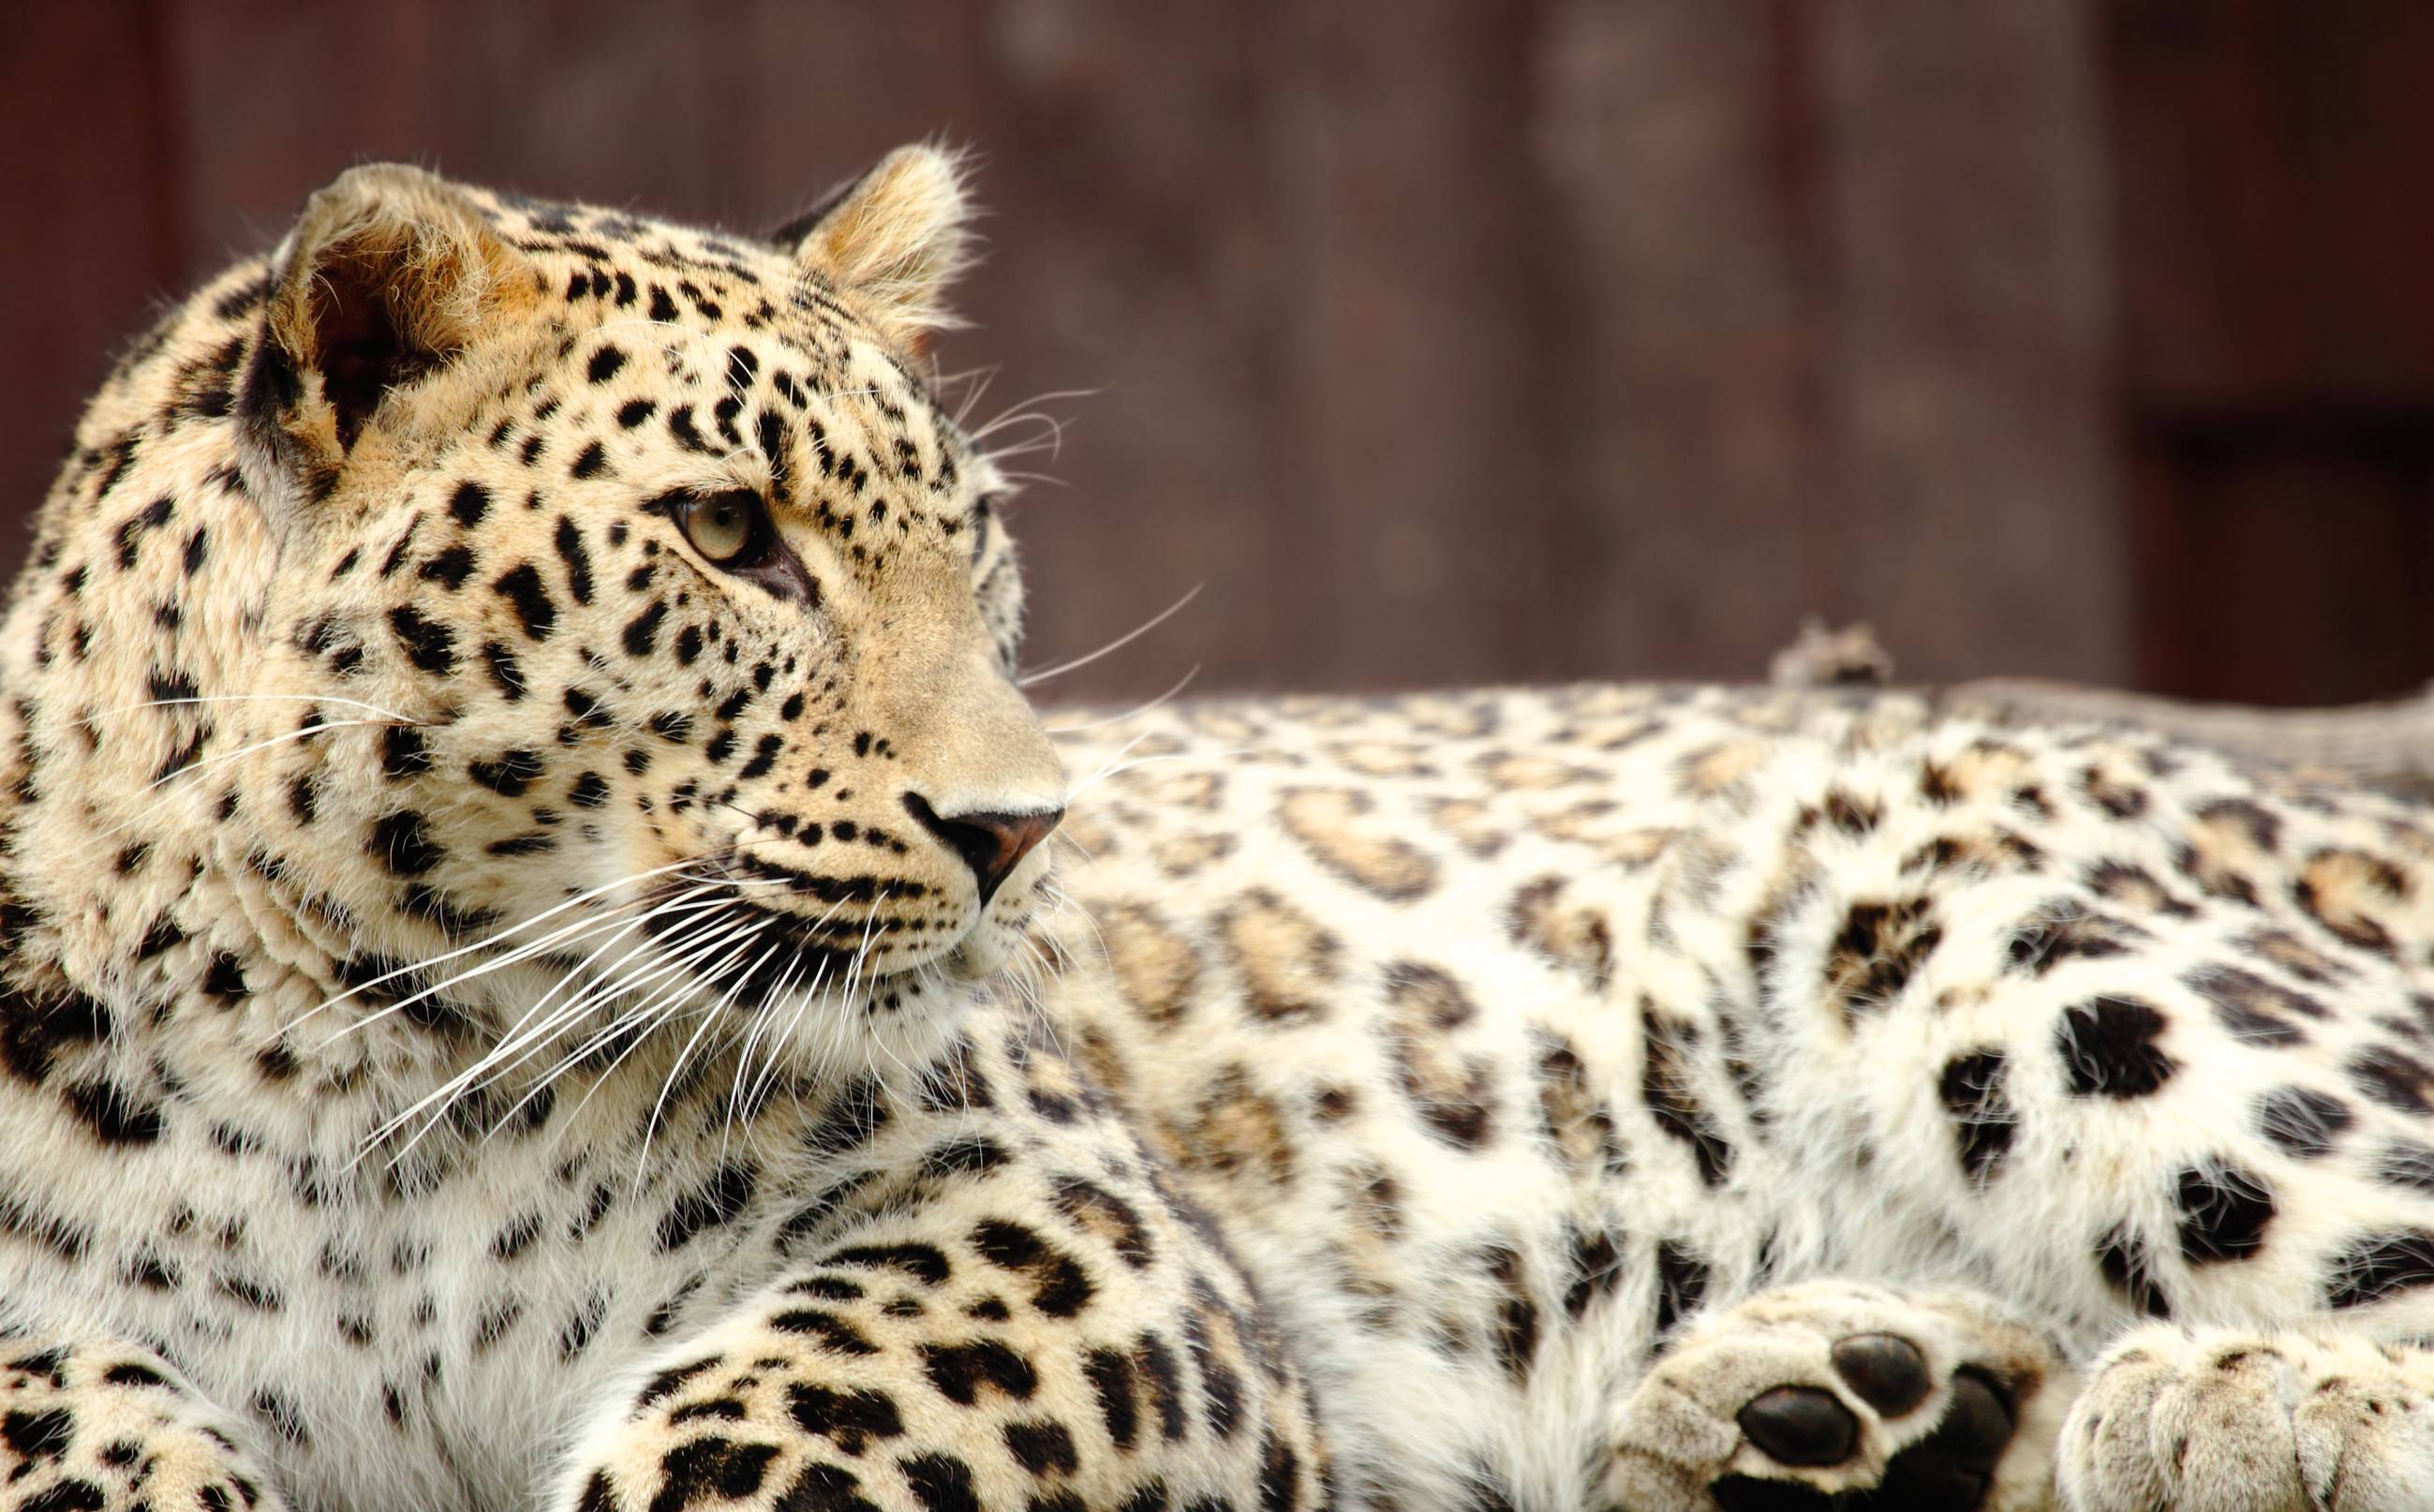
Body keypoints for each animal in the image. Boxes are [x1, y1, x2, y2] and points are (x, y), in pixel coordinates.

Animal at [6, 141, 2434, 1512]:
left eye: (972, 547)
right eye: (730, 539)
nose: (1018, 833)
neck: (366, 1055)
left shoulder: (1066, 1236)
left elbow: (778, 1417)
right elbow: (84, 1424)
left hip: (1952, 891)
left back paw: (2217, 1399)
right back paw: (1831, 1411)